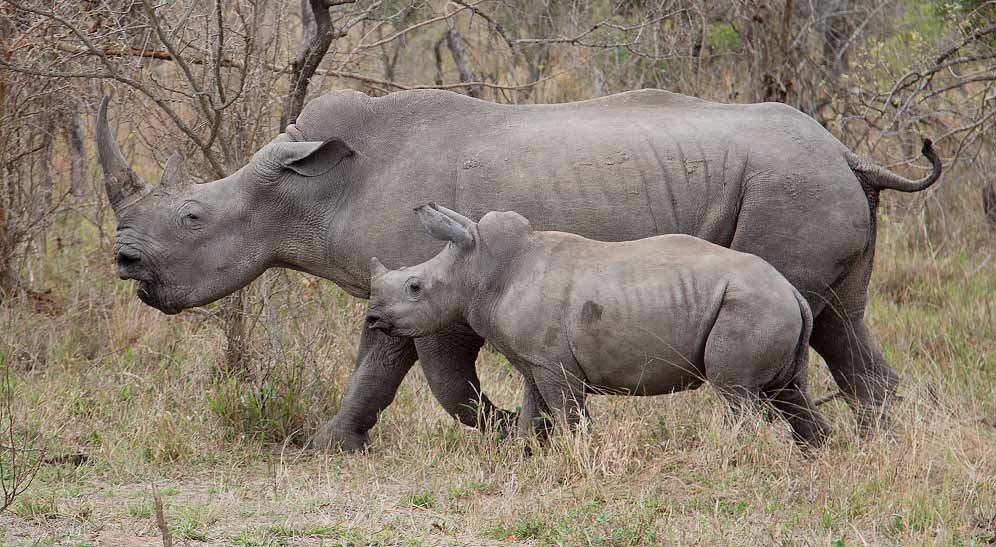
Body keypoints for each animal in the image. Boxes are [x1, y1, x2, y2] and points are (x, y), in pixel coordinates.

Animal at [367, 204, 833, 448]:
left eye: (415, 287)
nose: (372, 319)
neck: (480, 267)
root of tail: (791, 290)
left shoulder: (554, 364)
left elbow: (569, 415)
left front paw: (579, 456)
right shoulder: (536, 362)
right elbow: (534, 412)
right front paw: (522, 457)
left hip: (750, 306)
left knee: (737, 394)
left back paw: (733, 460)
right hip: (769, 306)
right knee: (788, 392)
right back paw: (814, 458)